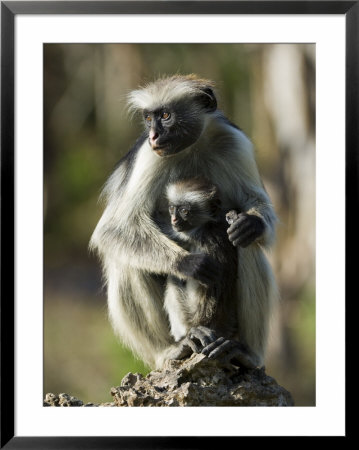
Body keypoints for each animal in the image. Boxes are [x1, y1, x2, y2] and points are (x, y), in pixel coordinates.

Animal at [90, 74, 278, 370]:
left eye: (166, 116)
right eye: (148, 118)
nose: (154, 135)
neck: (193, 147)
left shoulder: (233, 142)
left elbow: (253, 204)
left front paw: (252, 224)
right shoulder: (149, 156)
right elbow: (113, 230)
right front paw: (190, 264)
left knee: (248, 246)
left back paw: (246, 353)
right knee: (126, 263)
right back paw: (170, 350)